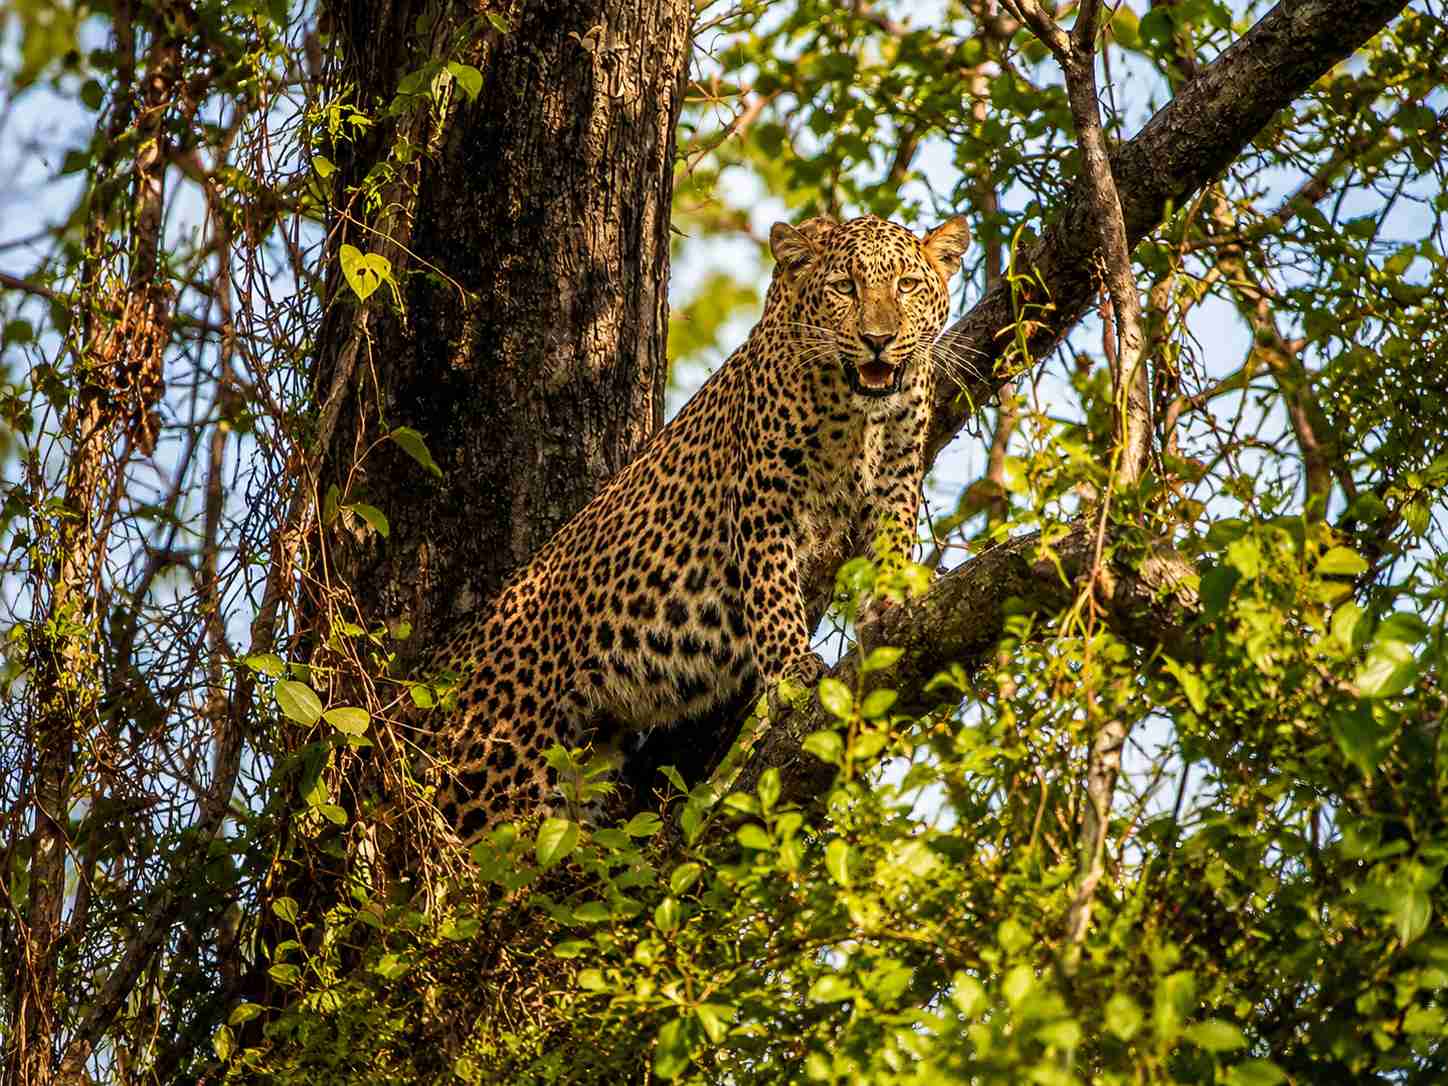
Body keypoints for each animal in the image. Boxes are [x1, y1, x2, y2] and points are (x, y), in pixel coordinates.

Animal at [429, 213, 971, 838]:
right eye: (844, 288)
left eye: (906, 286)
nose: (878, 339)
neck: (856, 416)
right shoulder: (763, 496)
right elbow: (772, 591)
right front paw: (791, 673)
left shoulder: (896, 478)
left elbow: (892, 545)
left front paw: (888, 605)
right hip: (497, 780)